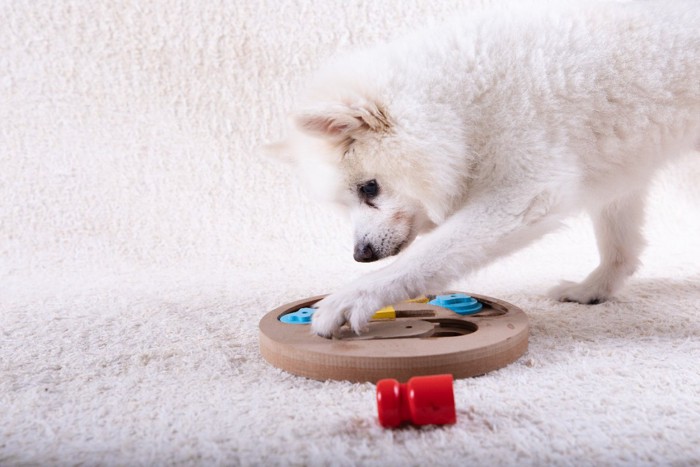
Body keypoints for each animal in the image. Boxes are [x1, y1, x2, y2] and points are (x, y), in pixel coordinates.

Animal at [266, 0, 696, 336]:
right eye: (347, 202)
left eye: (369, 188)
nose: (361, 255)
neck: (461, 103)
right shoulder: (618, 170)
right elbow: (620, 245)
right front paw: (596, 288)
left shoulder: (524, 194)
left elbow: (429, 256)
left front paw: (355, 296)